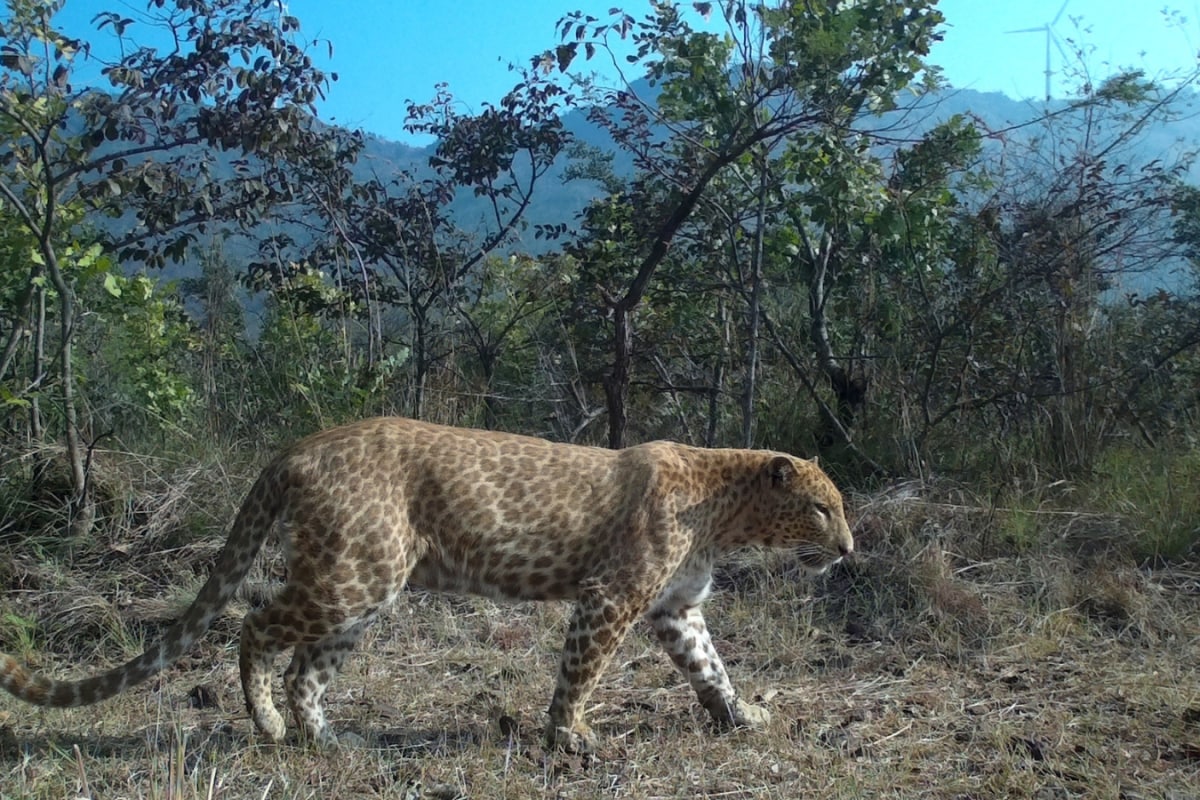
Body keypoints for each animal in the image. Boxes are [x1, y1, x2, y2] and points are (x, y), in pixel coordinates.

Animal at [0, 417, 853, 753]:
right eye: (822, 507)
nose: (847, 548)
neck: (723, 508)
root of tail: (301, 446)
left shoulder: (677, 610)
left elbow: (712, 670)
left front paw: (741, 717)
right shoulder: (610, 599)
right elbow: (580, 673)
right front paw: (568, 736)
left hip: (363, 592)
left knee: (306, 667)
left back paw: (325, 738)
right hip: (352, 576)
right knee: (255, 627)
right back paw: (269, 725)